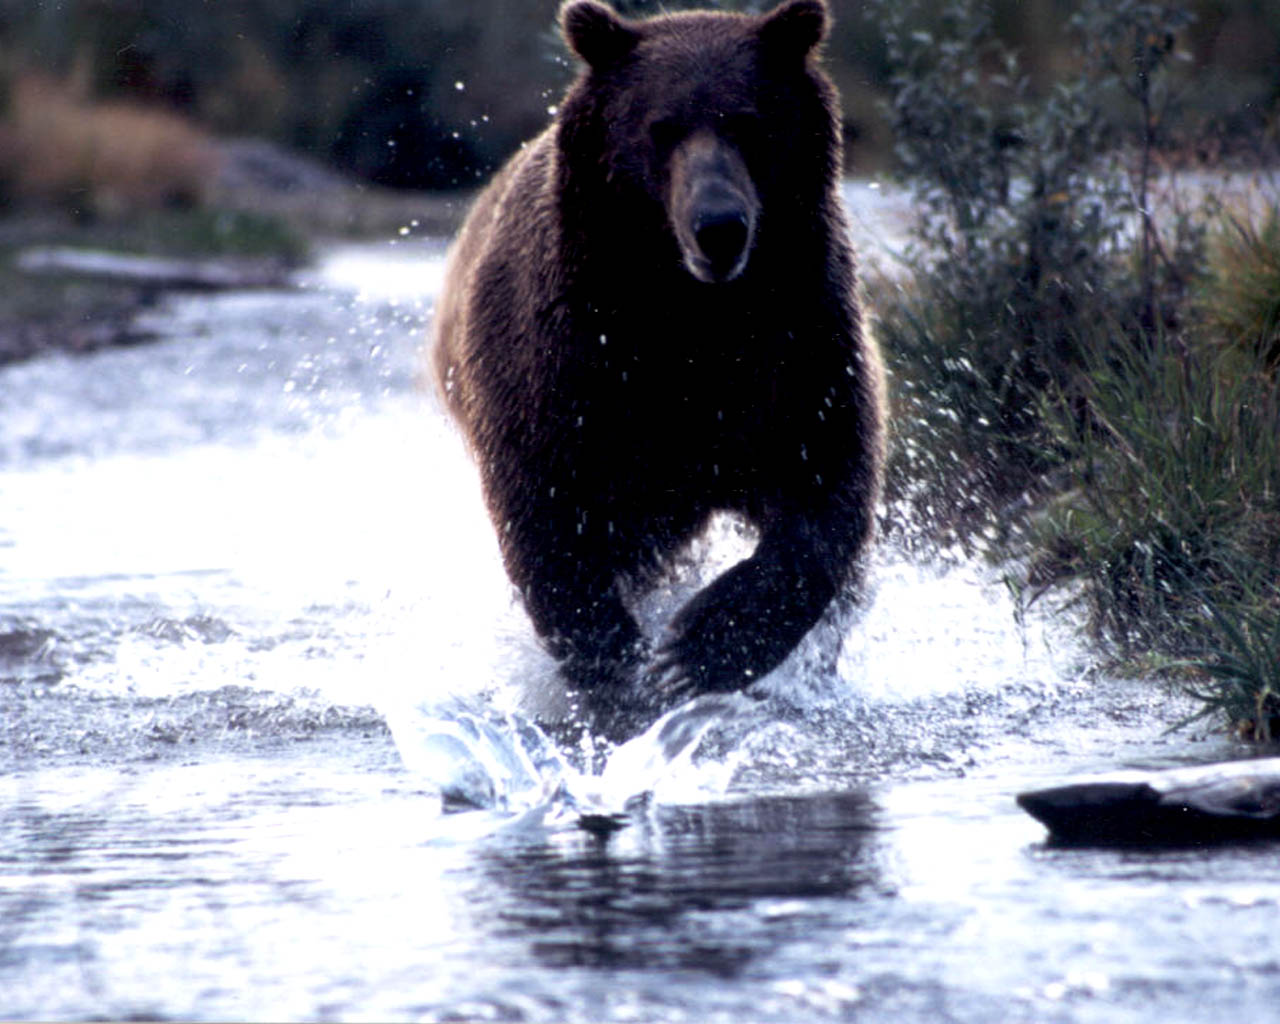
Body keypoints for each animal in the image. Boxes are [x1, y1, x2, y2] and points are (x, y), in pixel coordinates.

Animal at [431, 0, 885, 734]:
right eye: (661, 127)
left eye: (748, 122)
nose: (719, 226)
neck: (689, 315)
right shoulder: (575, 364)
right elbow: (549, 516)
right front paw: (622, 668)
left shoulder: (797, 343)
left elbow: (825, 484)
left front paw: (699, 645)